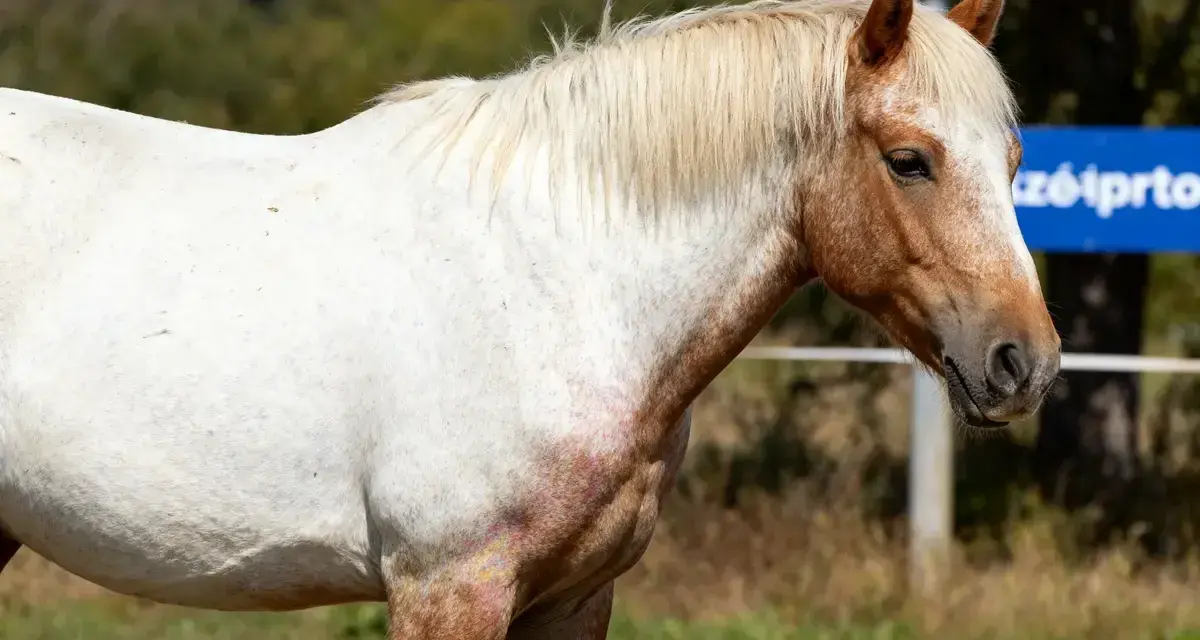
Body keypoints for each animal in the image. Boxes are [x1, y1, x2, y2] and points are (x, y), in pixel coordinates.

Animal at [0, 0, 1058, 636]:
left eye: (1013, 161)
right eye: (910, 160)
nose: (1026, 363)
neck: (562, 284)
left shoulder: (577, 595)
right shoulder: (449, 588)